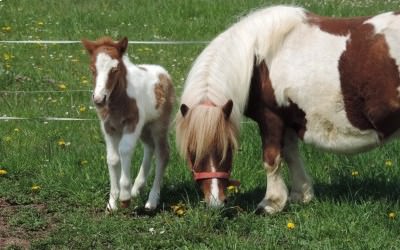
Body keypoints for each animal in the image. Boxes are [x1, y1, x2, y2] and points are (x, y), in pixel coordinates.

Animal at [82, 37, 174, 212]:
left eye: (115, 69)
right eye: (92, 69)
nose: (99, 99)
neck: (118, 101)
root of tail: (163, 73)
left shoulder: (132, 123)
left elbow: (124, 150)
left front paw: (124, 197)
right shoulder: (109, 128)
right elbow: (112, 158)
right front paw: (112, 203)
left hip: (158, 124)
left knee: (162, 153)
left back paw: (152, 200)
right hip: (145, 127)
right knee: (149, 147)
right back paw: (137, 188)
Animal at [177, 5, 400, 213]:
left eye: (227, 149)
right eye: (191, 152)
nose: (216, 203)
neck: (257, 60)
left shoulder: (271, 117)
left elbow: (271, 158)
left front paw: (271, 203)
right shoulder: (288, 118)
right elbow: (291, 154)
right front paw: (300, 195)